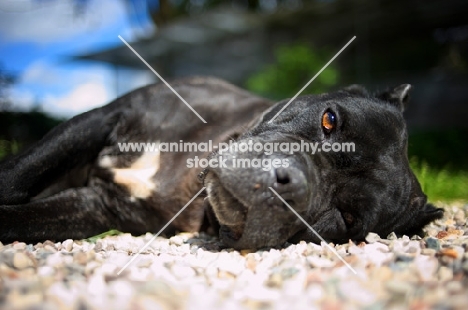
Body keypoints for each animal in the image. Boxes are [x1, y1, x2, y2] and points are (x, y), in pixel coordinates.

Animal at [0, 77, 442, 249]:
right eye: (329, 119)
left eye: (347, 218)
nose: (287, 180)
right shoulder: (105, 117)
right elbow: (19, 173)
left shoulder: (94, 207)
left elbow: (24, 219)